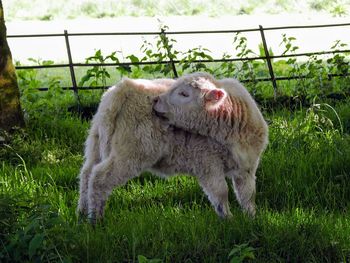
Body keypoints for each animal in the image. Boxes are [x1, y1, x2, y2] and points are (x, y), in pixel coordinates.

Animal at [78, 78, 238, 223]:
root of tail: (124, 88)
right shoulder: (209, 160)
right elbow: (220, 190)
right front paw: (229, 219)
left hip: (96, 143)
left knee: (86, 174)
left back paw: (82, 214)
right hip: (132, 151)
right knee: (99, 178)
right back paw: (95, 220)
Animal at [152, 72, 268, 217]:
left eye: (184, 94)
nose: (155, 100)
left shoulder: (248, 165)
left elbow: (248, 193)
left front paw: (251, 216)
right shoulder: (207, 163)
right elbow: (221, 191)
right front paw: (228, 218)